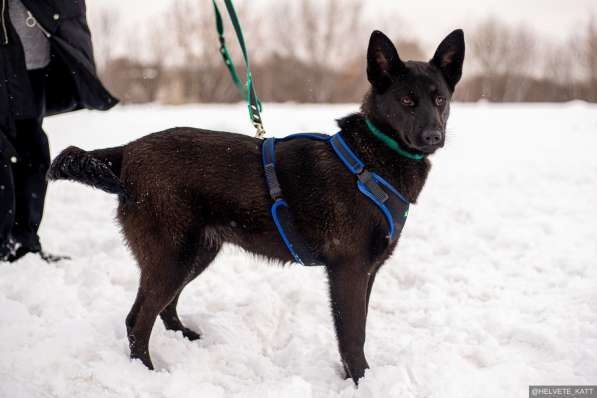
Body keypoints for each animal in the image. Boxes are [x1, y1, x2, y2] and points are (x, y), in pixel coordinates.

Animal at [47, 29, 466, 384]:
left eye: (440, 100)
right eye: (407, 101)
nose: (434, 135)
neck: (372, 159)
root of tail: (127, 152)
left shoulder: (368, 272)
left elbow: (356, 331)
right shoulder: (348, 270)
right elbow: (352, 337)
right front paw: (362, 382)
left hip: (196, 253)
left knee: (163, 309)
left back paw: (185, 339)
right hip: (172, 256)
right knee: (137, 320)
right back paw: (147, 375)